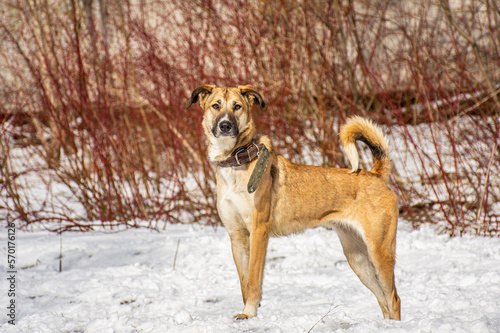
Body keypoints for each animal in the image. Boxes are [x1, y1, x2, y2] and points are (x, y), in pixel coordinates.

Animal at [186, 84, 400, 320]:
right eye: (216, 106)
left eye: (237, 106)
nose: (225, 126)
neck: (235, 162)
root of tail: (376, 175)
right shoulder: (236, 235)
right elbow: (244, 283)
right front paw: (246, 315)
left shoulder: (259, 230)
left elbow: (253, 280)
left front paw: (250, 313)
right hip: (357, 257)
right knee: (383, 299)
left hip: (379, 251)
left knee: (393, 298)